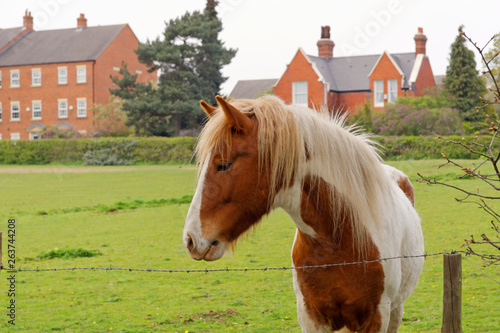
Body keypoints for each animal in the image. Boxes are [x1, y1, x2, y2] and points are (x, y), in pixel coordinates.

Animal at [182, 94, 424, 330]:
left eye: (223, 164)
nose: (190, 239)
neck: (337, 242)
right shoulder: (310, 316)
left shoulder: (377, 316)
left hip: (395, 310)